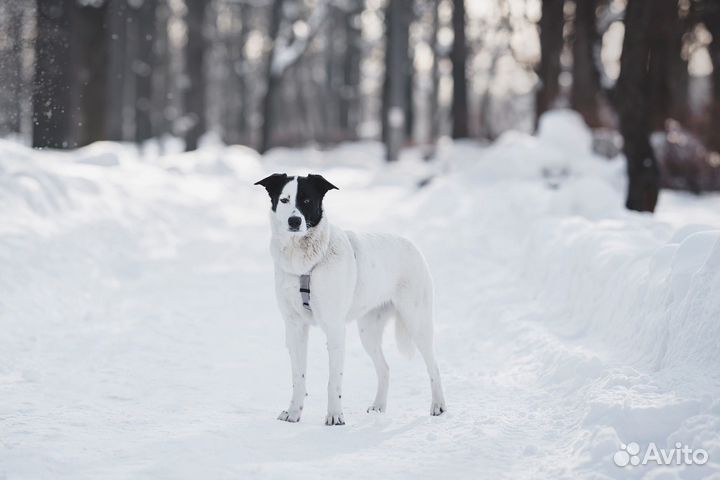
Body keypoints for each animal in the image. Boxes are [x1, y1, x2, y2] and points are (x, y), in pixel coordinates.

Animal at [253, 174, 444, 426]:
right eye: (284, 200)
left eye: (306, 200)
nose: (294, 221)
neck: (305, 264)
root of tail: (412, 245)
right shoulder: (294, 327)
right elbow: (298, 377)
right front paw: (294, 413)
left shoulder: (334, 328)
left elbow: (333, 381)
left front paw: (335, 416)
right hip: (368, 331)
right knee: (385, 368)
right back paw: (378, 407)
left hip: (417, 322)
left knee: (434, 366)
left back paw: (438, 406)